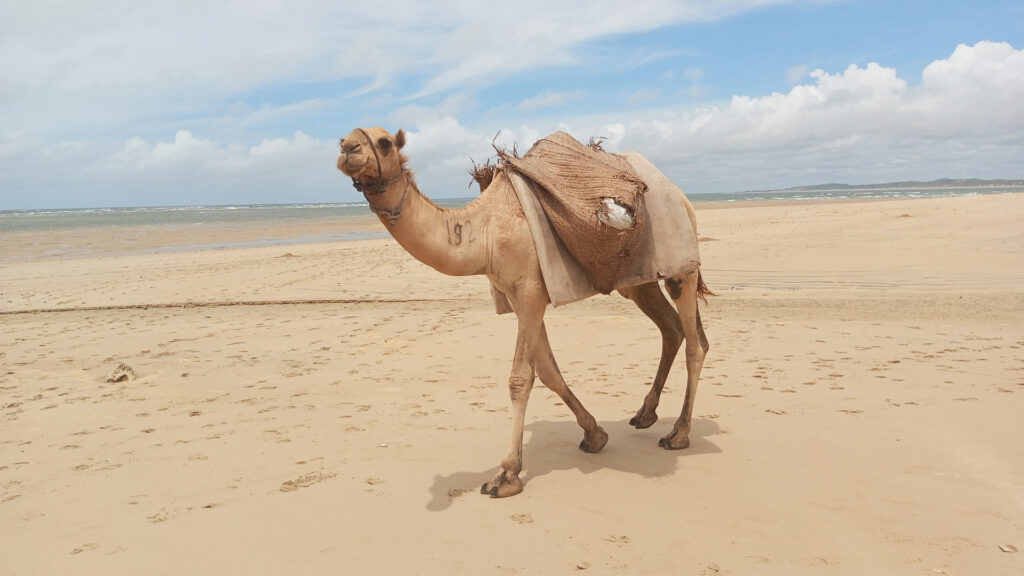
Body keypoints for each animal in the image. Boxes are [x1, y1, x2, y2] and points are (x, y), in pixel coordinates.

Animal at [336, 127, 710, 498]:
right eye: (343, 140)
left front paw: (506, 475)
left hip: (681, 267)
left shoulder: (530, 291)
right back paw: (645, 414)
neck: (484, 232)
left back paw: (678, 433)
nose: (348, 149)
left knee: (695, 344)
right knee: (672, 328)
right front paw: (595, 435)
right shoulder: (520, 298)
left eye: (384, 142)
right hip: (636, 280)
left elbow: (520, 378)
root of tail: (682, 196)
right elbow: (547, 371)